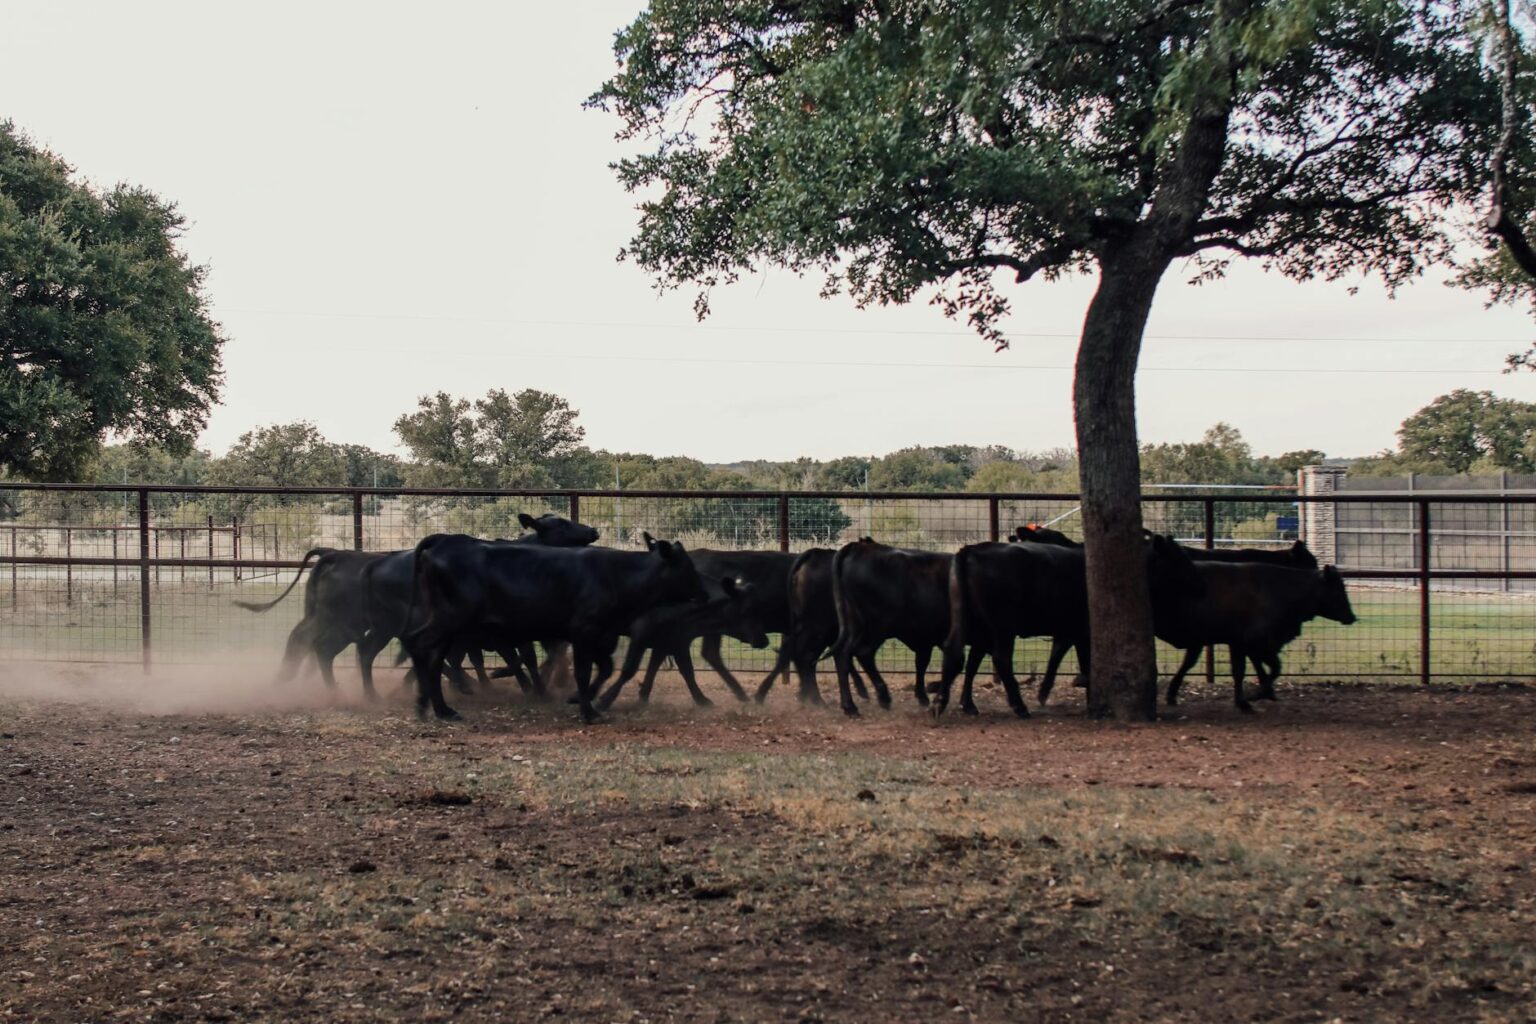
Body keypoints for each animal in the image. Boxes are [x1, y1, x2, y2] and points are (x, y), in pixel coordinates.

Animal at [398, 532, 709, 722]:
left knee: (433, 657)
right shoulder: (585, 632)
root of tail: (444, 540)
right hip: (450, 619)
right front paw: (588, 711)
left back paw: (438, 708)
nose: (706, 593)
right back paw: (427, 704)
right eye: (688, 566)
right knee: (419, 644)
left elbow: (605, 669)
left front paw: (582, 699)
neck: (617, 574)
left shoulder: (601, 636)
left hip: (449, 627)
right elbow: (583, 671)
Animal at [593, 575, 772, 710]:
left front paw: (701, 700)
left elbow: (682, 671)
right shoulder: (641, 634)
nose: (764, 640)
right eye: (747, 610)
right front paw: (606, 699)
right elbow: (629, 669)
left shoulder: (675, 642)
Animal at [1157, 562, 1357, 712]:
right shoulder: (1257, 642)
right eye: (1338, 589)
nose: (1352, 617)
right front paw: (1255, 695)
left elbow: (1244, 670)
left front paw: (1254, 697)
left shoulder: (1239, 643)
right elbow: (1273, 667)